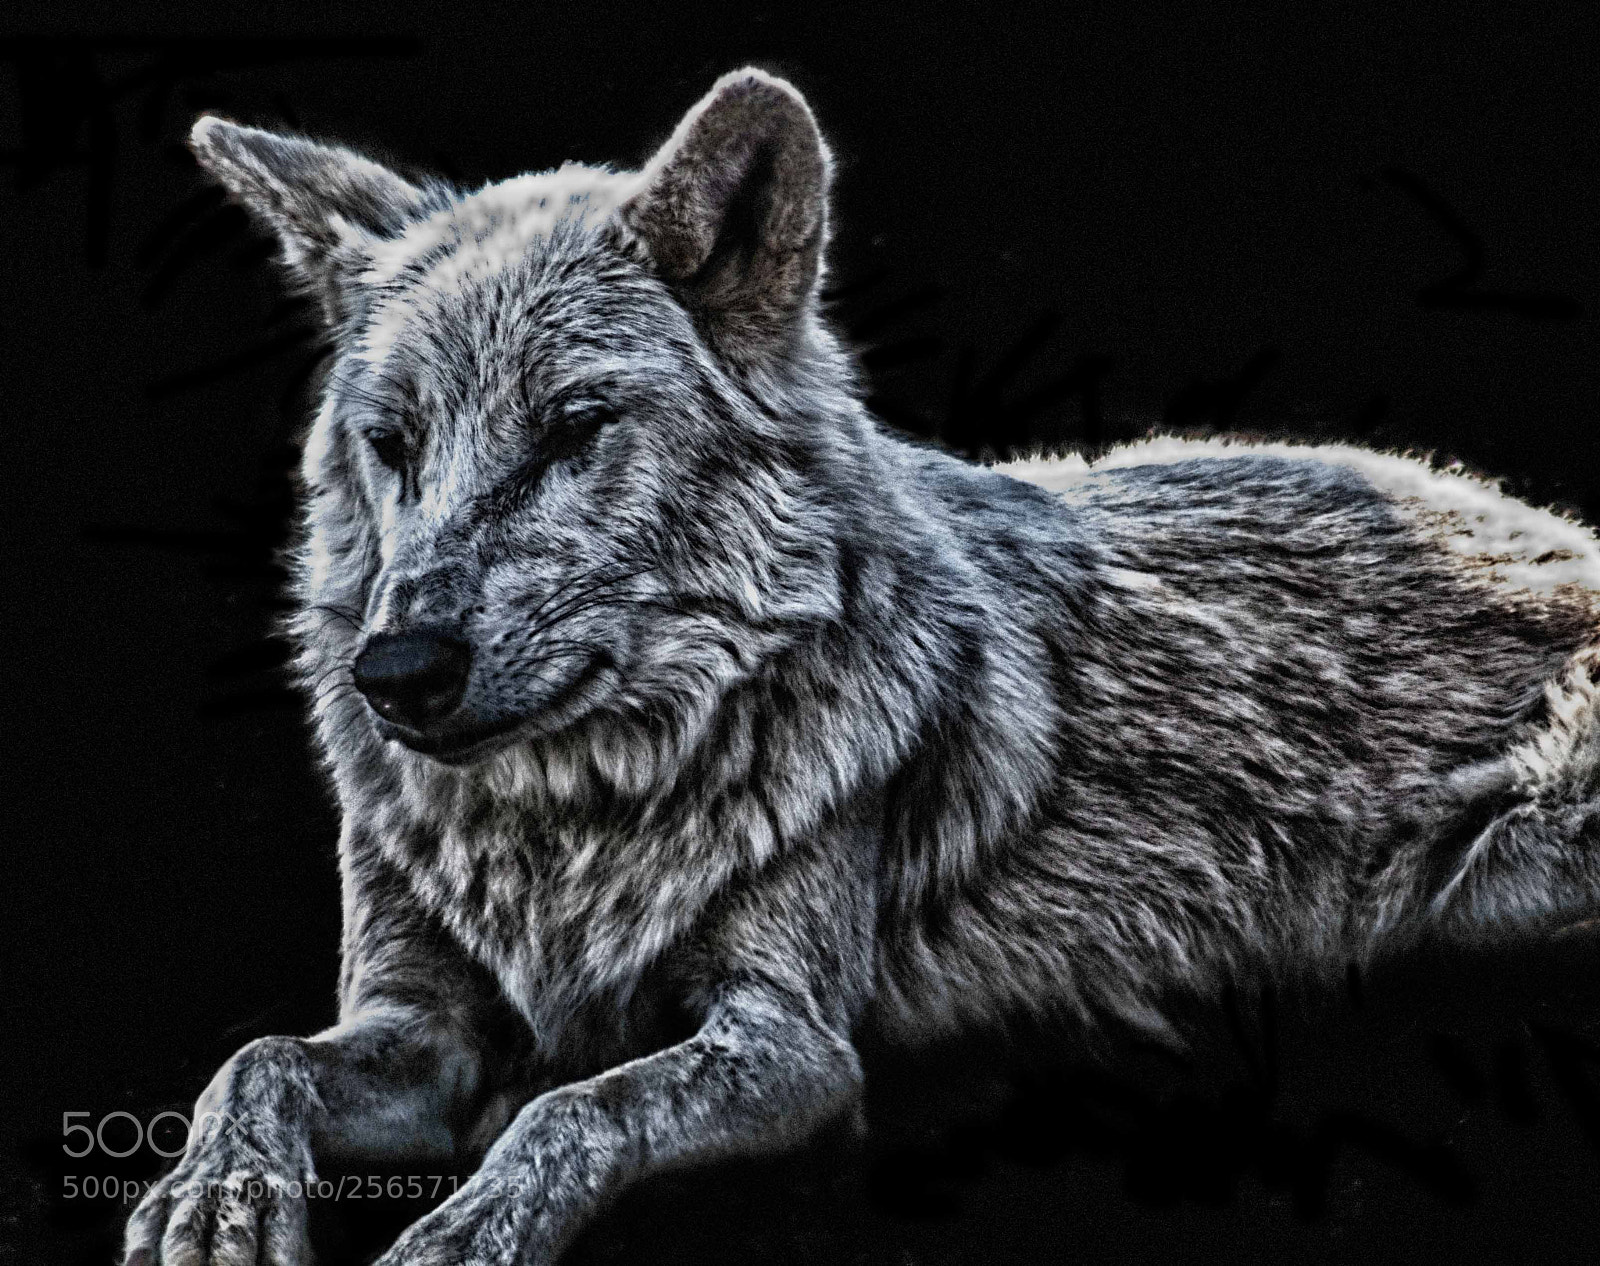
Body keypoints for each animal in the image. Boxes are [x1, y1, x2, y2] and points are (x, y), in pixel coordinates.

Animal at [125, 67, 1600, 1264]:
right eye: (391, 443)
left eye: (574, 427)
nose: (398, 670)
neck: (576, 822)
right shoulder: (416, 1021)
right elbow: (257, 1057)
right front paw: (213, 1197)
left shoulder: (792, 1044)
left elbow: (572, 1104)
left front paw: (465, 1230)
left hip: (1508, 879)